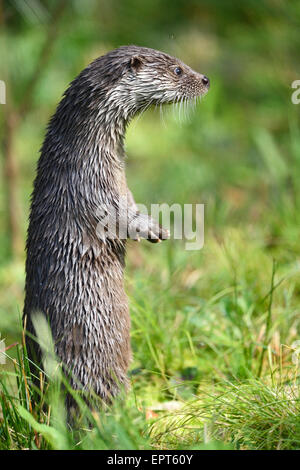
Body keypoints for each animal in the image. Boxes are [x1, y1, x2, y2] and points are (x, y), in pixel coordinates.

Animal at [23, 46, 210, 404]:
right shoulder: (90, 184)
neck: (87, 155)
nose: (206, 79)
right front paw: (152, 229)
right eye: (178, 70)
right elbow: (117, 217)